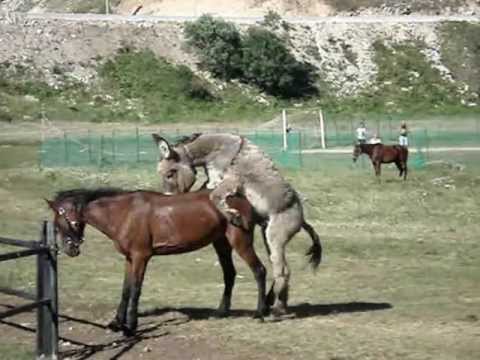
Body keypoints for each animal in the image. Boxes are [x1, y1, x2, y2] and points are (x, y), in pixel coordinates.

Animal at [47, 187, 268, 336]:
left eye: (60, 222)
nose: (70, 249)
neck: (125, 212)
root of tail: (243, 200)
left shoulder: (141, 257)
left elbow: (136, 290)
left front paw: (130, 327)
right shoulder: (129, 259)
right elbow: (126, 289)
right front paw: (117, 323)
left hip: (241, 242)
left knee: (259, 271)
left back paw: (260, 313)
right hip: (221, 243)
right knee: (229, 274)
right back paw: (222, 311)